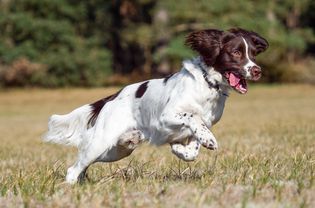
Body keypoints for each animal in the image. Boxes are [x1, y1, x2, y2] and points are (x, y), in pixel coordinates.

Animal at [43, 27, 270, 184]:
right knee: (74, 168)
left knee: (82, 164)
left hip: (117, 150)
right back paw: (70, 187)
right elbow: (193, 117)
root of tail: (113, 97)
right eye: (236, 52)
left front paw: (180, 149)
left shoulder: (203, 124)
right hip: (101, 142)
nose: (257, 70)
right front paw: (209, 140)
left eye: (253, 54)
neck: (208, 85)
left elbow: (193, 147)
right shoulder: (166, 117)